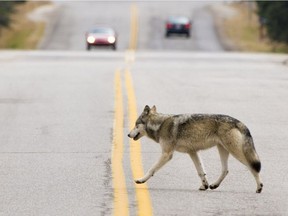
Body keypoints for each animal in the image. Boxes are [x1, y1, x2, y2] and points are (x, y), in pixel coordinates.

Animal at [128, 104, 264, 192]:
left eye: (135, 124)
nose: (128, 135)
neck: (160, 125)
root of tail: (238, 122)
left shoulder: (167, 154)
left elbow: (152, 169)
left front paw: (141, 180)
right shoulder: (193, 152)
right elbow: (201, 172)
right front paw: (205, 186)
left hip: (236, 152)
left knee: (253, 167)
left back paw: (259, 187)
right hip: (223, 150)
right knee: (225, 170)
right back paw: (214, 185)